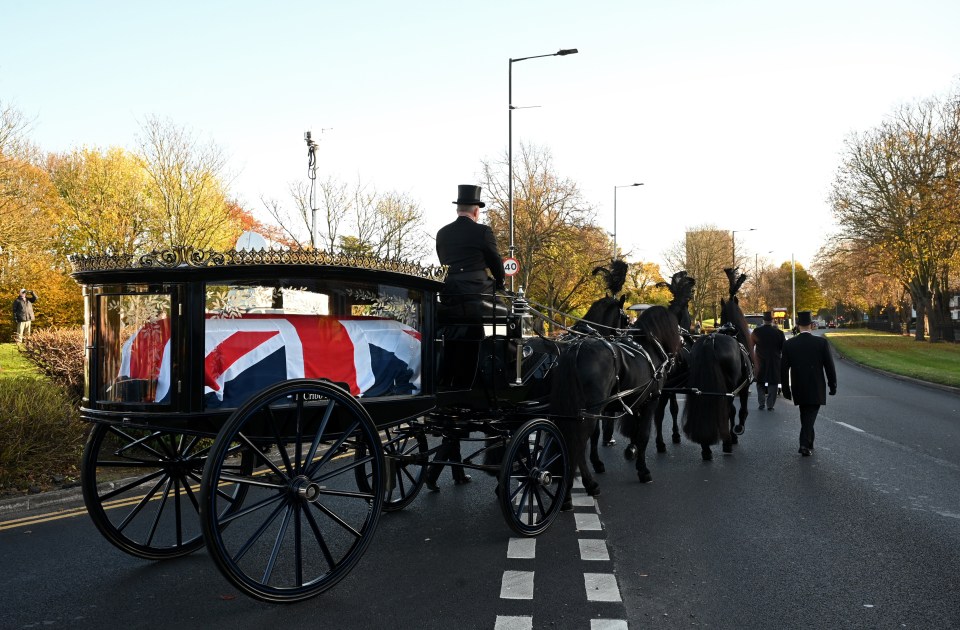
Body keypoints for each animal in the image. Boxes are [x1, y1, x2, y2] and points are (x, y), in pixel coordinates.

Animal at [548, 304, 684, 506]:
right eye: (626, 318)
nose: (682, 342)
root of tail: (577, 348)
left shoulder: (636, 402)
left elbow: (634, 431)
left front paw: (631, 451)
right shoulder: (650, 401)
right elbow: (643, 434)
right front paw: (643, 470)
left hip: (575, 412)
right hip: (588, 413)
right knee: (578, 444)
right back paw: (575, 491)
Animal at [680, 266, 752, 460]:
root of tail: (709, 340)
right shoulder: (742, 387)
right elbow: (740, 411)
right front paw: (736, 433)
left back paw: (706, 448)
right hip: (729, 387)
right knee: (729, 409)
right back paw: (727, 442)